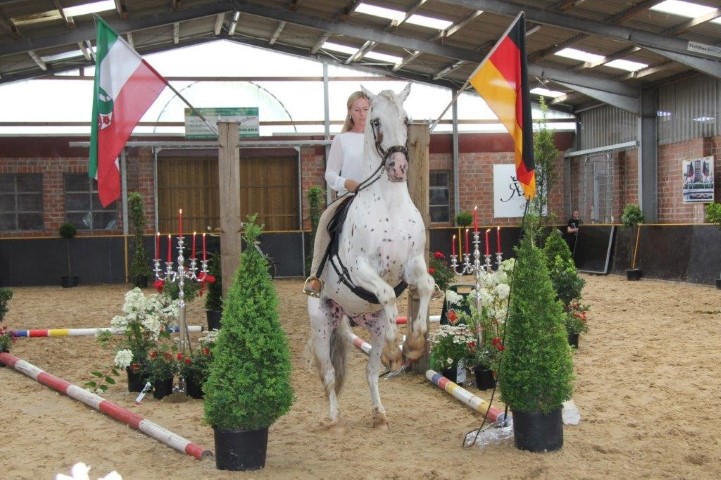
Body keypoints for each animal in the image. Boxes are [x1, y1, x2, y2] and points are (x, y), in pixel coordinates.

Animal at [307, 83, 435, 429]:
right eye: (375, 121)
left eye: (405, 119)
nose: (398, 168)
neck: (389, 203)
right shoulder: (362, 269)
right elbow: (388, 293)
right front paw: (398, 344)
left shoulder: (413, 263)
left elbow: (426, 286)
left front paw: (413, 344)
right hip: (322, 324)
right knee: (329, 374)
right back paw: (333, 418)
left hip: (370, 324)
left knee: (370, 372)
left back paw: (380, 413)